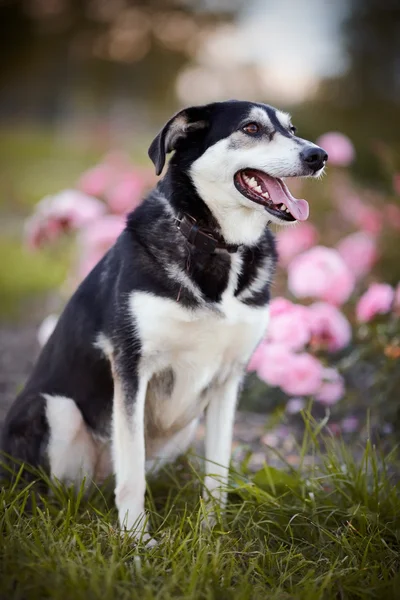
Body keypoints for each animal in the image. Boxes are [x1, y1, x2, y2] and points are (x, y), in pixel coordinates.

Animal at [0, 101, 328, 540]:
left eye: (292, 128)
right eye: (251, 128)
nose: (318, 155)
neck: (218, 244)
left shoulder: (229, 378)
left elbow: (218, 470)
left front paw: (211, 534)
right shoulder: (131, 368)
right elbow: (132, 470)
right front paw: (137, 538)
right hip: (55, 410)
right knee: (61, 491)